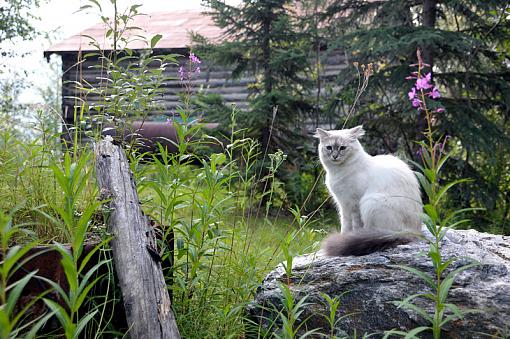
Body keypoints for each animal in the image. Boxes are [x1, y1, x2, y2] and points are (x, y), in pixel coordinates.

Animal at [314, 126, 422, 256]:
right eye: (329, 148)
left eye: (342, 148)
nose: (335, 156)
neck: (338, 171)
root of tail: (414, 232)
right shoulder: (343, 204)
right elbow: (345, 224)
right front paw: (344, 236)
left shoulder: (354, 203)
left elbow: (355, 225)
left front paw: (349, 237)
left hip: (369, 203)